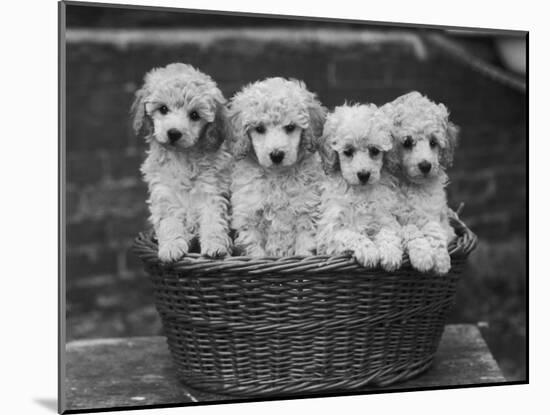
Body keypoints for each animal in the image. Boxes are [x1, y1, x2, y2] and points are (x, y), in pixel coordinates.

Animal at [133, 63, 233, 262]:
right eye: (163, 109)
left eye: (194, 115)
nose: (174, 133)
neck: (182, 158)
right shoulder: (164, 193)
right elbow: (169, 222)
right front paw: (171, 247)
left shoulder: (211, 191)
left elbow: (213, 220)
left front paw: (216, 247)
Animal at [229, 77, 328, 256]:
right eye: (259, 128)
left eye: (290, 127)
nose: (276, 155)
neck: (277, 176)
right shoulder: (249, 214)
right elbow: (254, 249)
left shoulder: (306, 210)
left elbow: (305, 243)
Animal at [316, 105, 404, 272]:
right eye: (348, 151)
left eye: (374, 150)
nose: (364, 175)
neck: (360, 193)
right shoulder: (331, 230)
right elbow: (352, 235)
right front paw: (369, 251)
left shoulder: (385, 216)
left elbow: (388, 232)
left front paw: (390, 253)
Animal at [388, 91, 462, 276]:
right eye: (407, 142)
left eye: (433, 142)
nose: (425, 165)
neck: (412, 185)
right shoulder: (392, 219)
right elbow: (410, 229)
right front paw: (423, 257)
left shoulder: (434, 213)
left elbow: (434, 229)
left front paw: (441, 260)